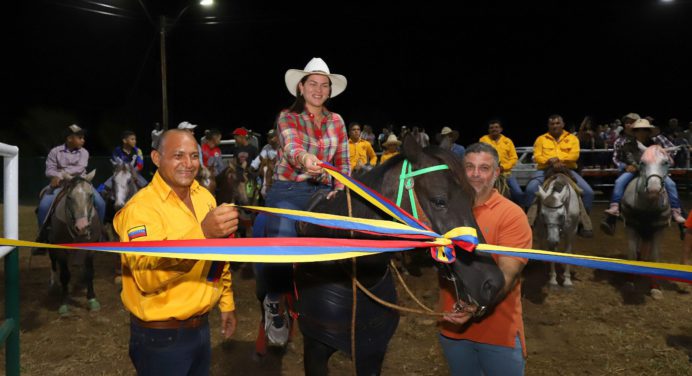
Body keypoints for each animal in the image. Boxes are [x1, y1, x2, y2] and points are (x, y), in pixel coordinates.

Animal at [620, 144, 672, 300]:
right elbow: (631, 254)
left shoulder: (658, 230)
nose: (654, 189)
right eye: (642, 163)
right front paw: (629, 283)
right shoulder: (631, 226)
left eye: (665, 162)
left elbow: (655, 257)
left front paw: (655, 289)